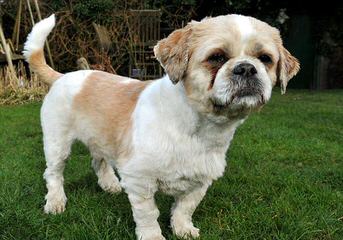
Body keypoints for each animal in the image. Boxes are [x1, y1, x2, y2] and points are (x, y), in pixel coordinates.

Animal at [22, 13, 300, 240]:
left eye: (265, 59)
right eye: (217, 57)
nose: (247, 68)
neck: (197, 128)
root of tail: (63, 76)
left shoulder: (200, 181)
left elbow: (184, 208)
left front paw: (183, 229)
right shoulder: (139, 180)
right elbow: (148, 215)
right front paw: (153, 236)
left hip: (100, 139)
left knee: (98, 161)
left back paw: (110, 185)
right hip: (57, 143)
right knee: (53, 174)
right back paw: (55, 202)